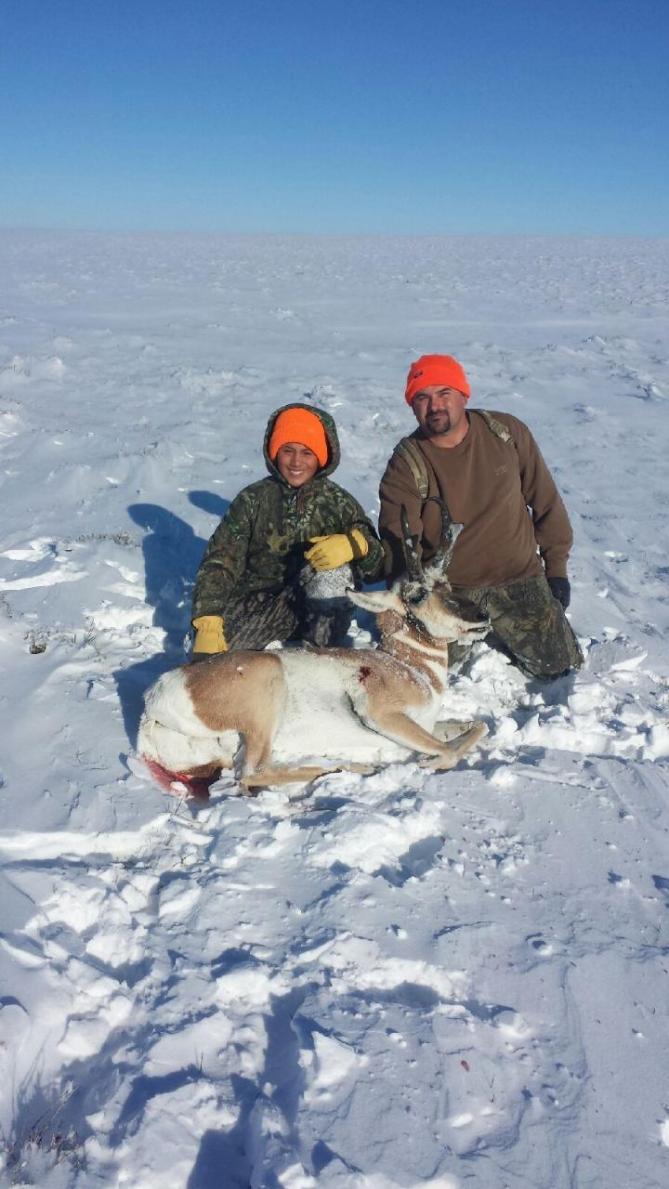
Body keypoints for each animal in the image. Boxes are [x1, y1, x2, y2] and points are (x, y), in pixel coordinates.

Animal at [137, 516, 488, 793]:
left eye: (447, 583)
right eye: (417, 595)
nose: (481, 616)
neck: (408, 666)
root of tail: (154, 702)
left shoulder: (429, 723)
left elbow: (479, 725)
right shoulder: (383, 715)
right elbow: (449, 751)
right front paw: (427, 762)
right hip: (266, 695)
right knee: (251, 773)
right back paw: (360, 767)